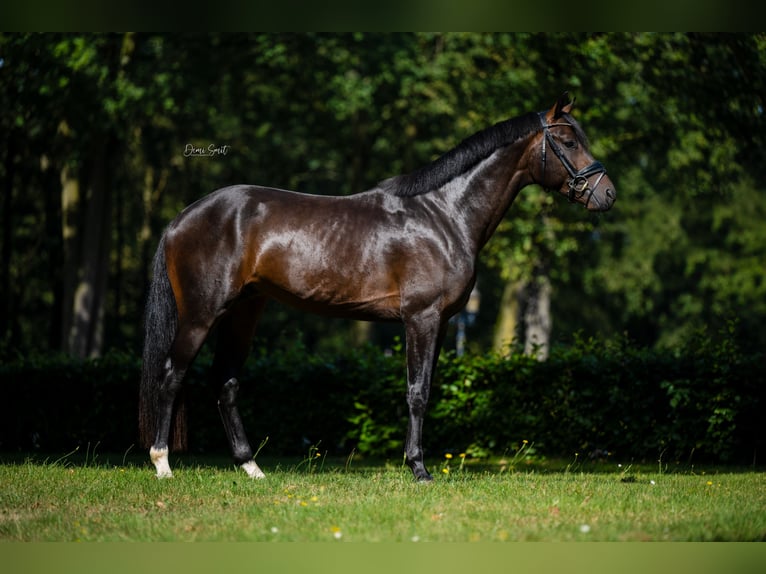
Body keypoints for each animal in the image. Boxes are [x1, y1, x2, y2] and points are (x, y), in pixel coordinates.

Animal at [140, 93, 616, 482]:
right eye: (567, 142)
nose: (607, 194)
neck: (444, 215)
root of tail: (182, 218)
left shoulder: (442, 323)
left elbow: (427, 389)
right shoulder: (420, 319)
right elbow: (417, 393)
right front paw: (419, 469)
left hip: (243, 312)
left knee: (225, 381)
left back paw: (250, 466)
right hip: (202, 314)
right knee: (172, 375)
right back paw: (163, 463)